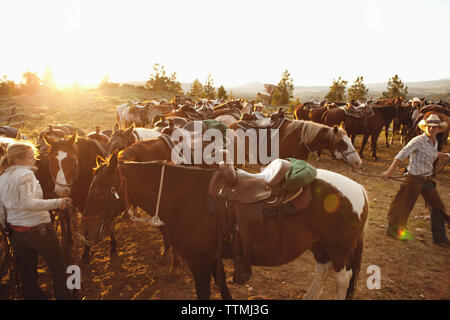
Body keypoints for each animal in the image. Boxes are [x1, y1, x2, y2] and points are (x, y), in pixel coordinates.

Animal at [81, 152, 370, 300]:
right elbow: (222, 286)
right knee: (322, 270)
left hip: (339, 250)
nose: (85, 232)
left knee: (342, 279)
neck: (183, 197)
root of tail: (360, 190)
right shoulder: (212, 257)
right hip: (319, 246)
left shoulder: (199, 261)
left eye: (99, 192)